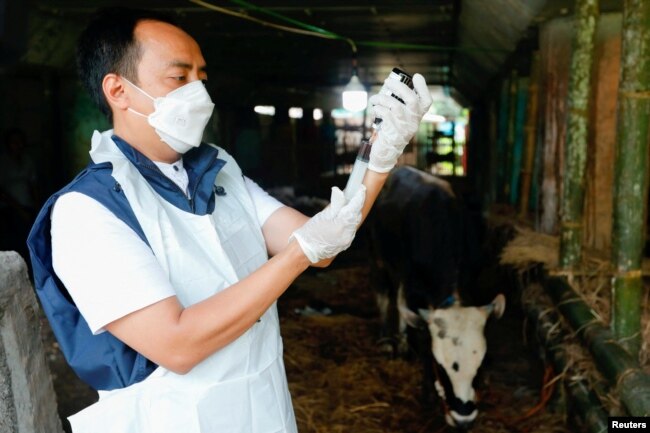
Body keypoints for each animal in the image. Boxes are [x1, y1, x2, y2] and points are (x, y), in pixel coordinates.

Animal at [368, 166, 504, 428]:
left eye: (480, 365)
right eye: (440, 366)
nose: (463, 419)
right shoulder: (414, 287)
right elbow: (421, 337)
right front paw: (427, 394)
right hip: (379, 257)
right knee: (384, 295)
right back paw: (388, 342)